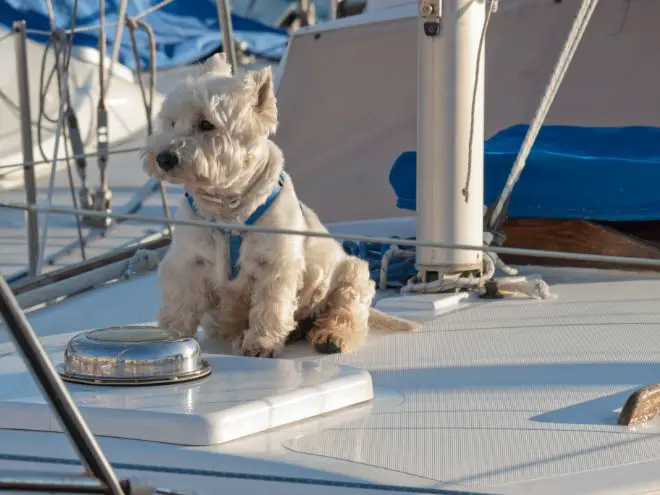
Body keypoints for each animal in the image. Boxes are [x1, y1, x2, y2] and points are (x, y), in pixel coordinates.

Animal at [144, 53, 418, 356]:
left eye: (206, 124)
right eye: (171, 122)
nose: (164, 158)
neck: (227, 210)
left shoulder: (276, 265)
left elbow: (270, 307)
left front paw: (260, 344)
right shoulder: (187, 262)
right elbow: (179, 305)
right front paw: (170, 336)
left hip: (352, 272)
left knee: (348, 311)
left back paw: (331, 336)